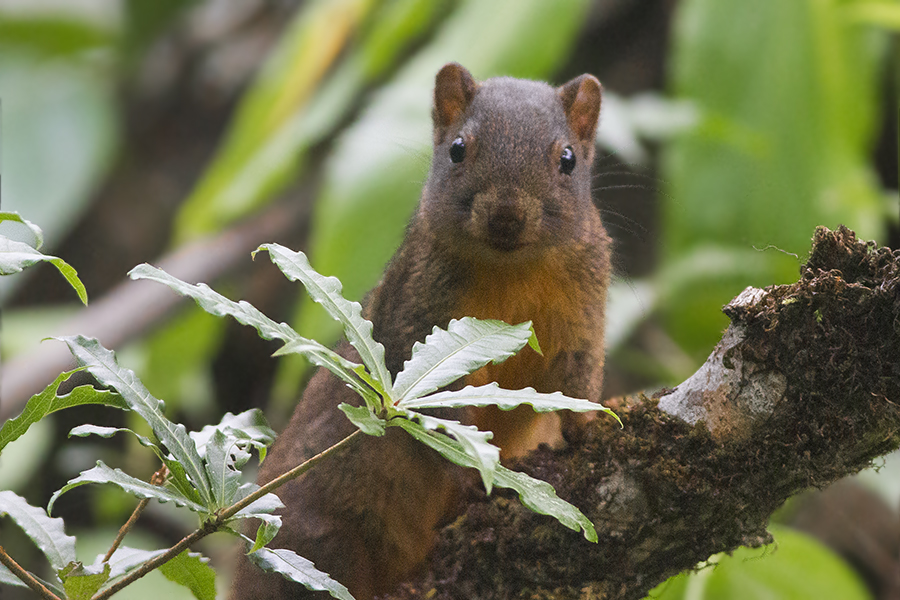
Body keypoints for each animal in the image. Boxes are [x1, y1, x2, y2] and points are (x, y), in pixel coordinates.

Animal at [232, 62, 612, 600]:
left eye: (568, 160)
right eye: (457, 148)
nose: (506, 216)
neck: (512, 271)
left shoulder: (584, 312)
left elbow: (578, 378)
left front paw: (588, 426)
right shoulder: (420, 315)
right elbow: (444, 411)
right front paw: (471, 472)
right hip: (316, 534)